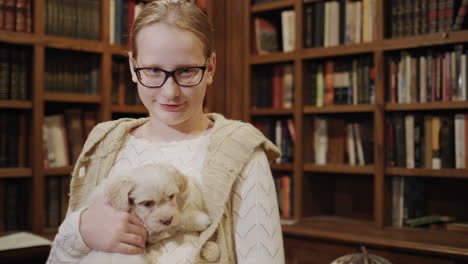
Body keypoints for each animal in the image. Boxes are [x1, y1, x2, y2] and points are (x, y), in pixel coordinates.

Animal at [79, 163, 211, 264]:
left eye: (171, 196)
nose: (167, 220)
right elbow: (176, 223)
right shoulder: (147, 229)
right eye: (147, 203)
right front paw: (199, 219)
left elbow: (175, 221)